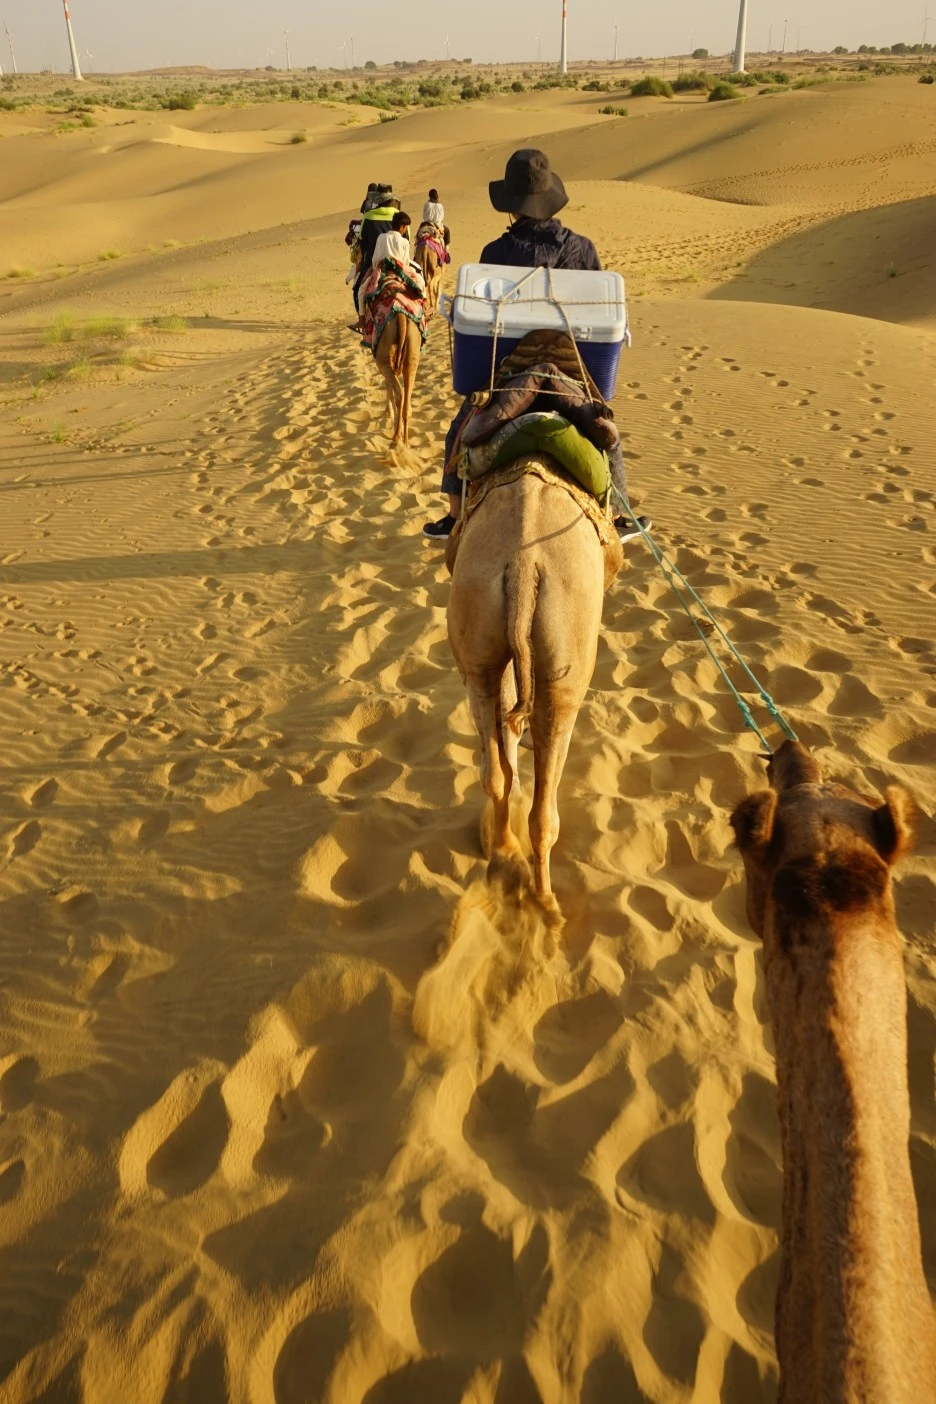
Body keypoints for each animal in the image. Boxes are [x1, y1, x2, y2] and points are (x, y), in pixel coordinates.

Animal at [373, 312, 421, 446]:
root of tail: (401, 317)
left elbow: (387, 386)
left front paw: (388, 413)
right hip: (413, 352)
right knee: (407, 396)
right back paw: (405, 442)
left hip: (384, 359)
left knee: (400, 393)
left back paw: (396, 437)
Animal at [446, 459, 622, 910]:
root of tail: (524, 563)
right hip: (569, 662)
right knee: (545, 808)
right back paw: (546, 903)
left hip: (476, 634)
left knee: (494, 768)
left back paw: (503, 855)